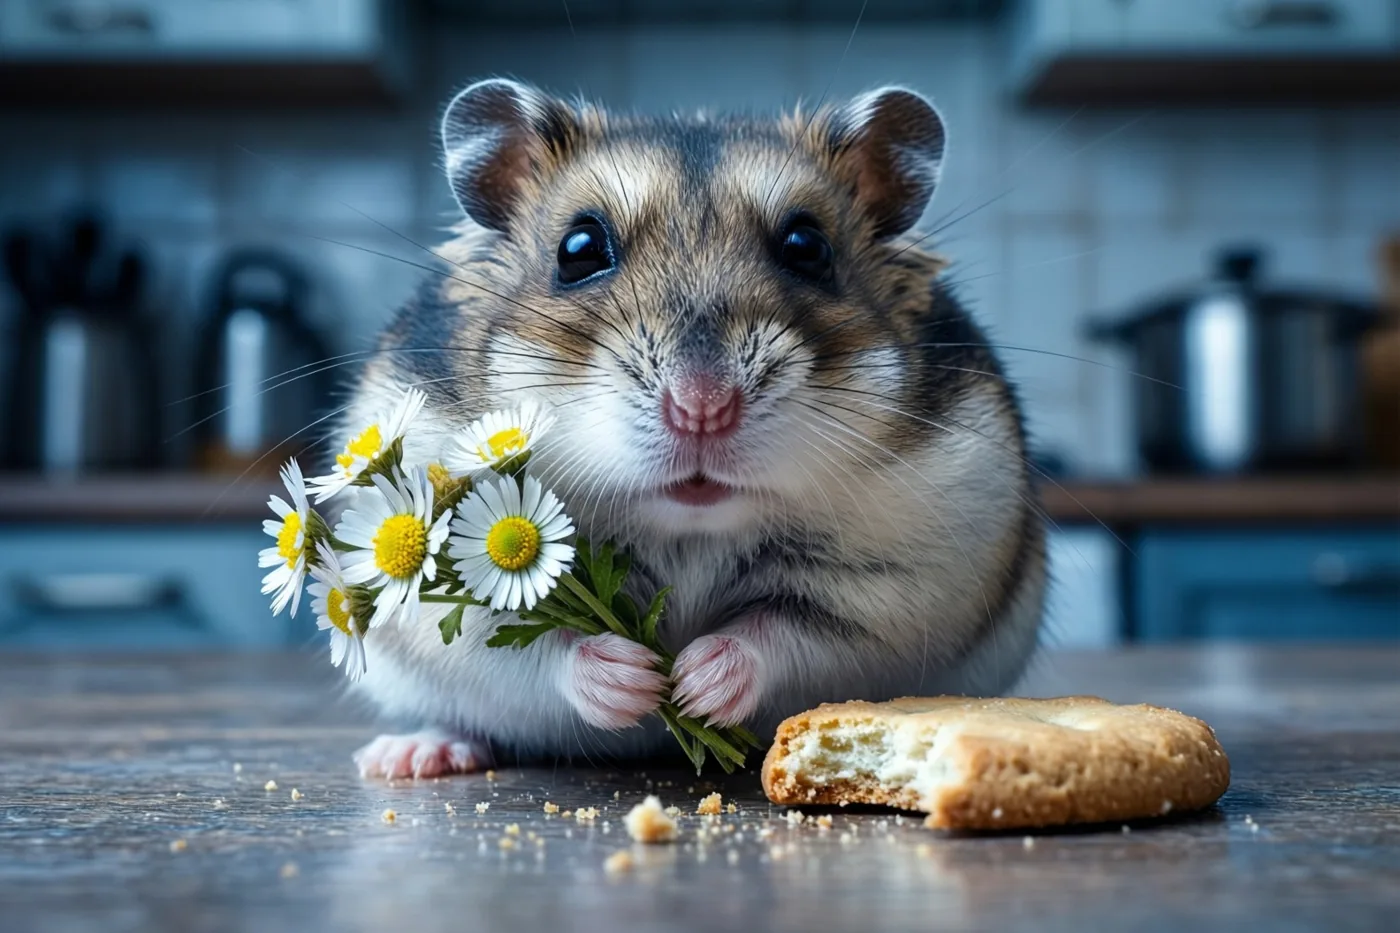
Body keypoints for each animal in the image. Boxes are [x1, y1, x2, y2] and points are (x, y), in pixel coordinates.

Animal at [344, 79, 1046, 779]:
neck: (689, 527)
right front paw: (639, 679)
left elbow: (783, 634)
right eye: (578, 250)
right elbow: (537, 646)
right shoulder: (455, 617)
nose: (701, 407)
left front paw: (690, 682)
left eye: (808, 248)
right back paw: (410, 756)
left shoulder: (894, 585)